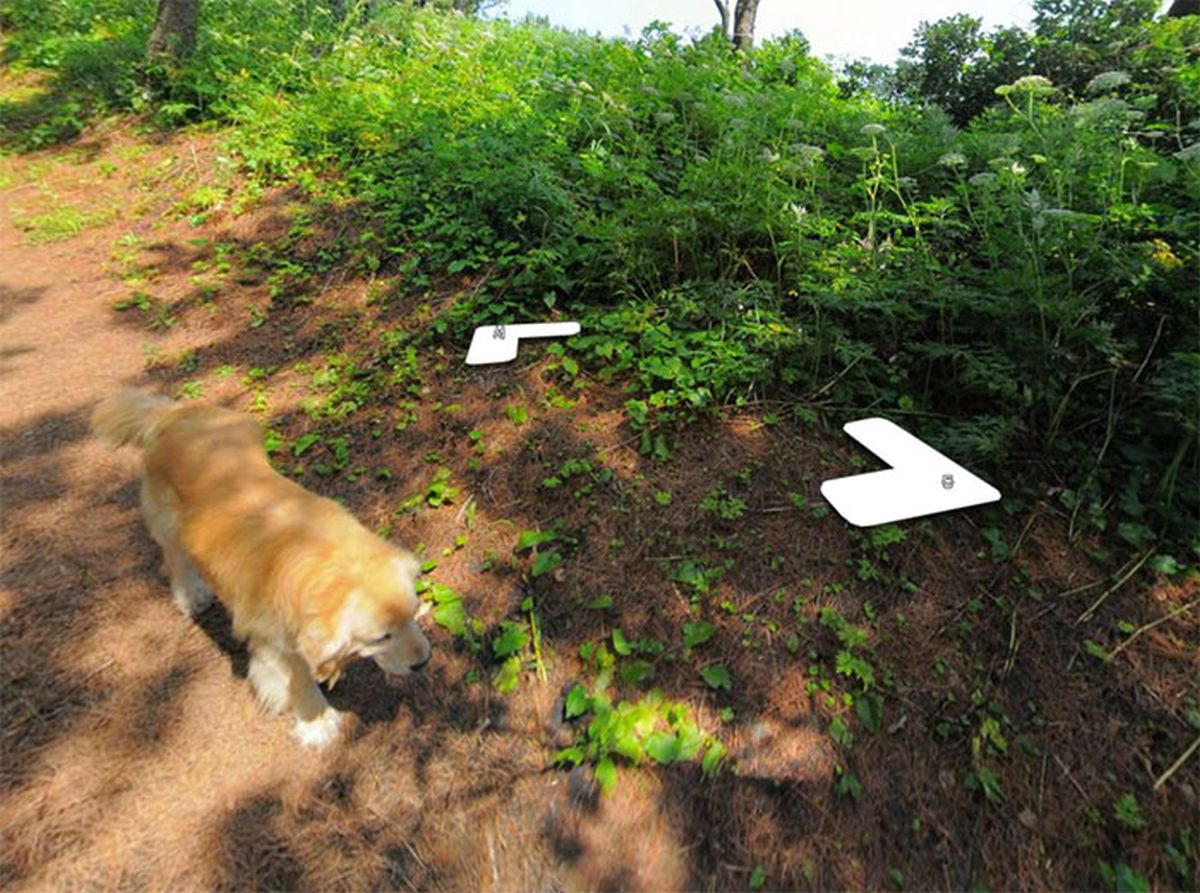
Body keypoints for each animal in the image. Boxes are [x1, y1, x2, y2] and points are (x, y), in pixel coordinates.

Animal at [93, 391, 432, 744]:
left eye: (414, 612)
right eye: (381, 637)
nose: (424, 661)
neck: (325, 561)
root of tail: (170, 414)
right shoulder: (276, 638)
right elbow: (297, 678)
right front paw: (316, 721)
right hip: (168, 524)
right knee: (175, 561)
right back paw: (192, 596)